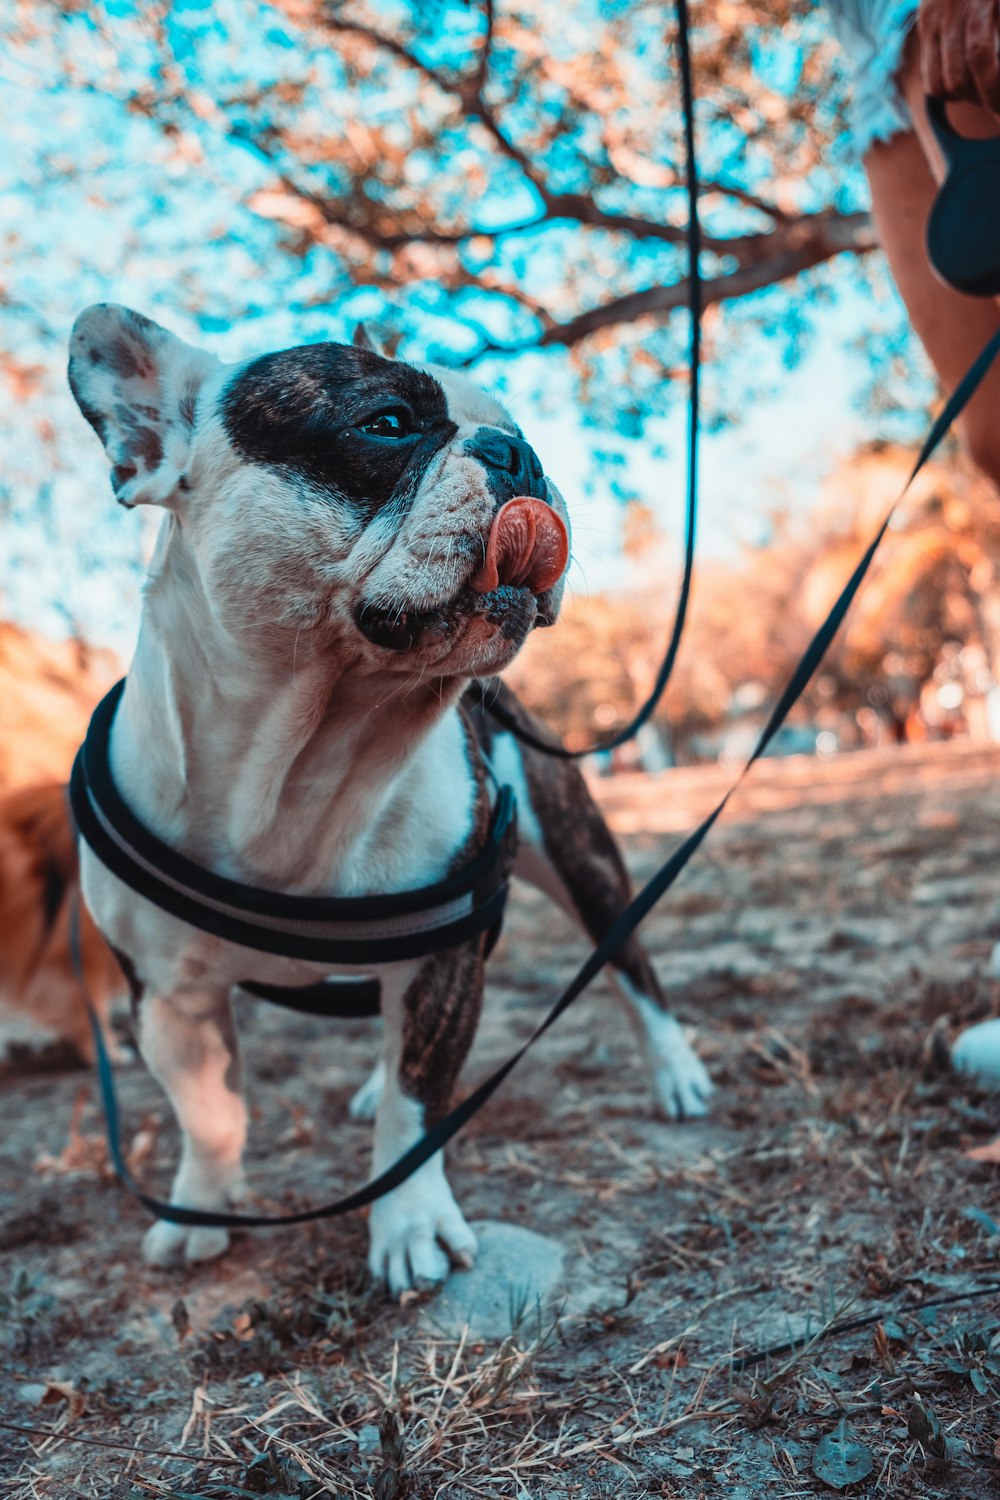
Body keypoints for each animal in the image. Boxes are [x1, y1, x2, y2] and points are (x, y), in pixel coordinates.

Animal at [68, 301, 710, 1290]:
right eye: (388, 423)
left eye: (517, 430)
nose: (518, 453)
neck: (304, 761)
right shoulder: (167, 999)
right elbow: (207, 1115)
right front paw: (201, 1208)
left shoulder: (445, 961)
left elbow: (419, 1104)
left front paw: (409, 1224)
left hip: (580, 856)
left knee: (632, 965)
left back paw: (674, 1071)